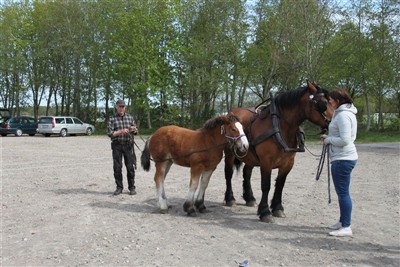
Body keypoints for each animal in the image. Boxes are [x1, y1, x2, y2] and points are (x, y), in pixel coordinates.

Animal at [223, 82, 332, 224]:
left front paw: (278, 208)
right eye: (323, 103)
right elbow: (266, 185)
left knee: (247, 173)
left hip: (250, 156)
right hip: (230, 154)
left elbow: (280, 184)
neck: (279, 127)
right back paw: (230, 198)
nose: (333, 122)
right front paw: (265, 212)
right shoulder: (266, 162)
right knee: (228, 174)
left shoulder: (288, 163)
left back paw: (250, 198)